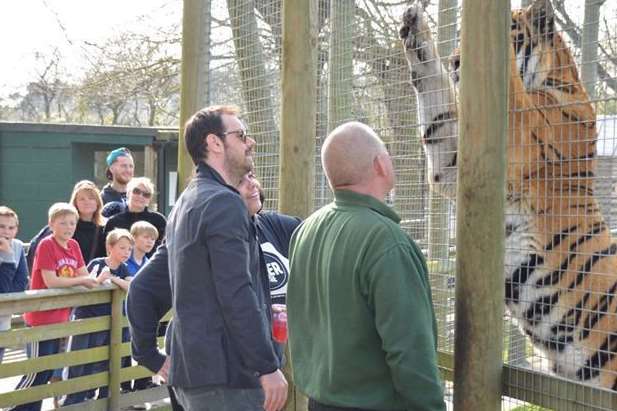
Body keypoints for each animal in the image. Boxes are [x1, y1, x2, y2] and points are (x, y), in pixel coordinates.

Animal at [400, 0, 616, 392]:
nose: (456, 61)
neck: (559, 79)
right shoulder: (453, 165)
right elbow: (438, 110)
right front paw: (415, 30)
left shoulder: (519, 136)